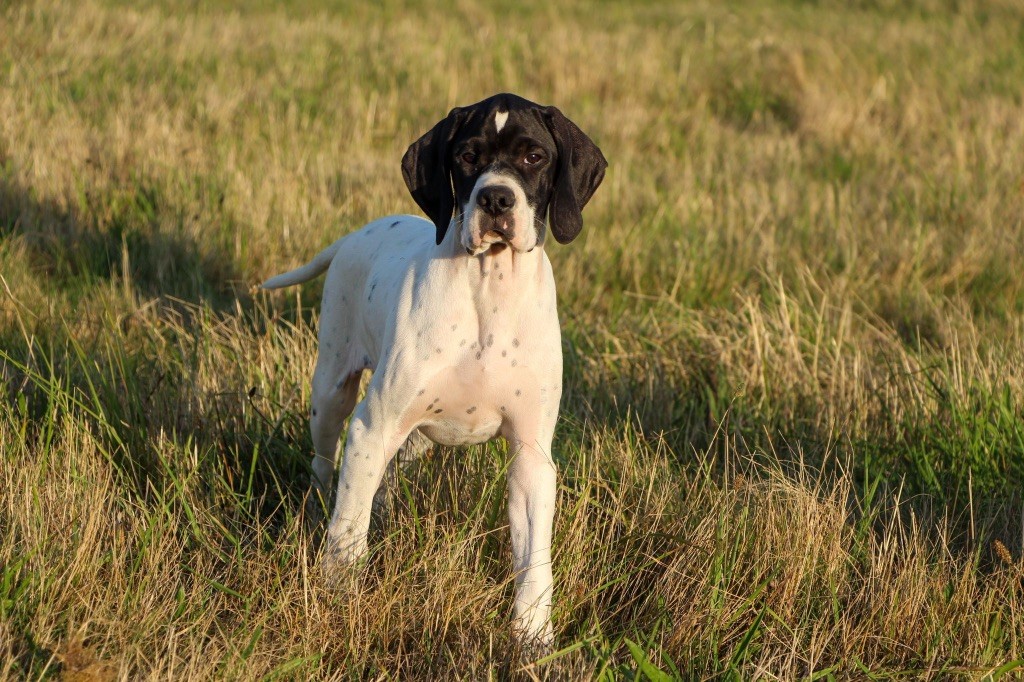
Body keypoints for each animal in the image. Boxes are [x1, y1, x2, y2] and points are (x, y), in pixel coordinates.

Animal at [260, 93, 606, 638]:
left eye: (534, 157)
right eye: (467, 156)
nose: (496, 200)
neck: (488, 290)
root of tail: (358, 232)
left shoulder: (531, 454)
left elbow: (534, 562)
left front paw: (533, 638)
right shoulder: (372, 426)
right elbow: (348, 528)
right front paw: (338, 598)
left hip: (415, 434)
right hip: (332, 393)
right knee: (325, 467)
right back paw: (317, 510)